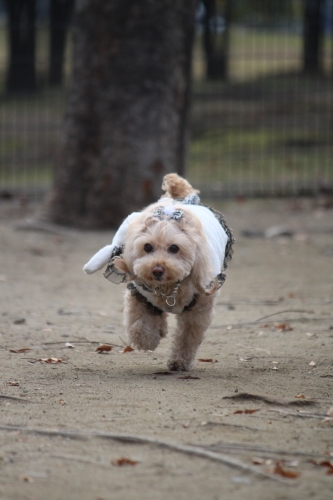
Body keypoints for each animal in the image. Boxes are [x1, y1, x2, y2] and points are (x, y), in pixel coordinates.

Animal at [83, 174, 233, 370]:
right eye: (147, 247)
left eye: (174, 248)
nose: (157, 270)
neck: (169, 288)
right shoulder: (140, 296)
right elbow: (139, 325)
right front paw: (149, 340)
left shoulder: (198, 307)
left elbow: (188, 336)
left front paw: (179, 362)